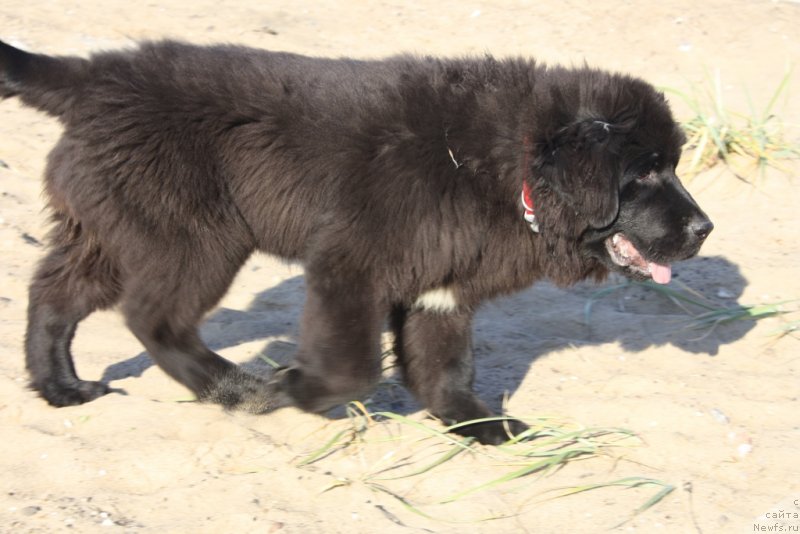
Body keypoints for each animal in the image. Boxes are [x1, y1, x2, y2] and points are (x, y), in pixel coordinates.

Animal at [0, 39, 712, 446]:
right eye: (646, 172)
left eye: (672, 165)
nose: (705, 229)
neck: (507, 167)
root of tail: (95, 75)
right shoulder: (352, 265)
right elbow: (353, 367)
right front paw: (291, 388)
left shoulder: (441, 285)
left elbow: (445, 367)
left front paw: (478, 425)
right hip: (197, 236)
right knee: (154, 317)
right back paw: (235, 388)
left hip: (116, 227)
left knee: (54, 293)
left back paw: (61, 387)